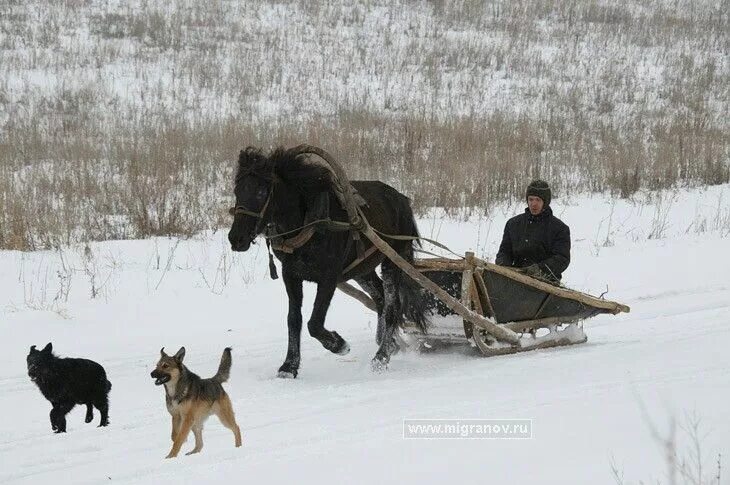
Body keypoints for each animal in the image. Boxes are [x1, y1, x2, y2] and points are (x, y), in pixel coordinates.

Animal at [225, 146, 424, 376]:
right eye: (237, 191)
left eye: (260, 192)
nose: (236, 238)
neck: (310, 220)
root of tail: (401, 199)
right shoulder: (290, 275)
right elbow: (294, 319)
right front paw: (289, 365)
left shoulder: (329, 277)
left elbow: (315, 322)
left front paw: (339, 345)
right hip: (362, 269)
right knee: (380, 297)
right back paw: (388, 343)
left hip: (393, 259)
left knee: (393, 305)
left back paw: (381, 356)